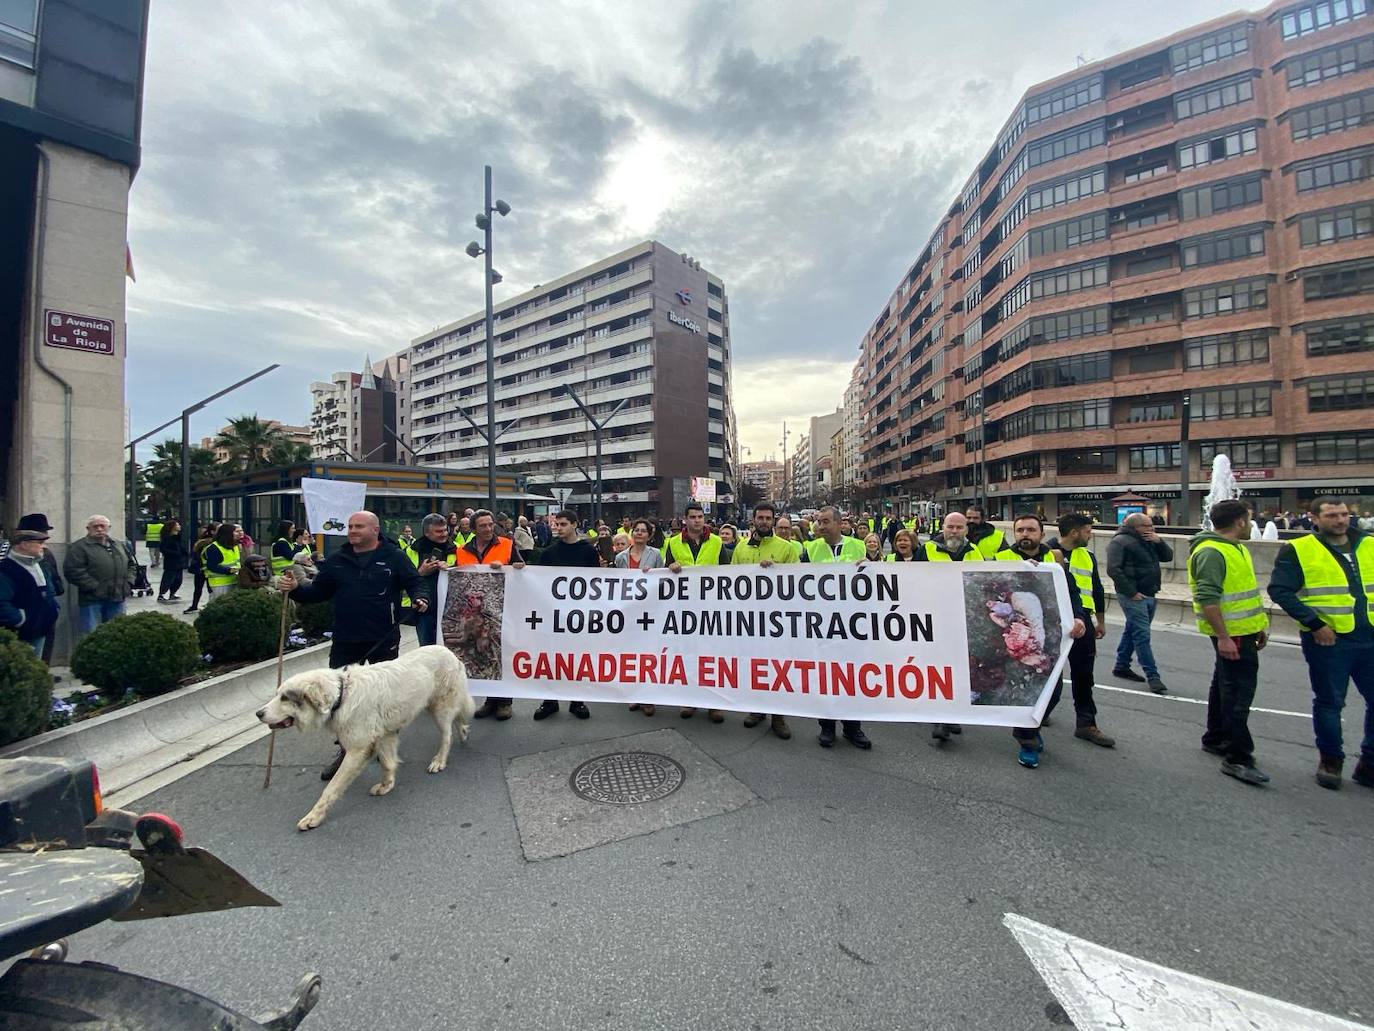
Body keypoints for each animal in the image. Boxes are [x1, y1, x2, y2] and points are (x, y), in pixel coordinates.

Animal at [255, 646, 475, 830]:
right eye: (277, 695)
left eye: (285, 698)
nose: (258, 713)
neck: (341, 696)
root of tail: (450, 652)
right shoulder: (384, 736)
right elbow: (387, 763)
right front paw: (387, 785)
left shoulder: (357, 750)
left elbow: (331, 788)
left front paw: (313, 817)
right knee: (458, 717)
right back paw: (463, 731)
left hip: (439, 709)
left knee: (447, 735)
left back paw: (439, 760)